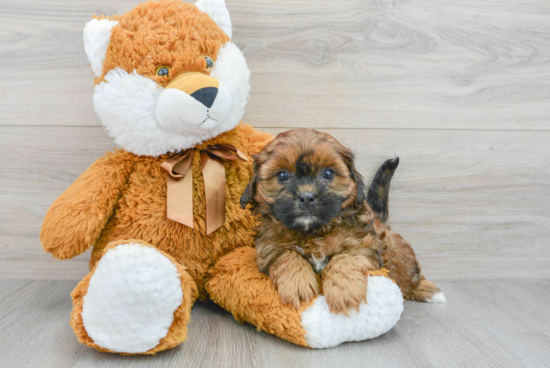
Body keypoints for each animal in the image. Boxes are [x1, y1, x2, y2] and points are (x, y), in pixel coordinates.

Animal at [243, 129, 448, 314]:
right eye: (282, 176)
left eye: (328, 174)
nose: (306, 197)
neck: (314, 231)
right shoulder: (268, 249)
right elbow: (287, 254)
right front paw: (297, 284)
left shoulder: (364, 243)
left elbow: (344, 258)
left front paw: (344, 291)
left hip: (400, 254)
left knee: (411, 272)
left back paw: (427, 291)